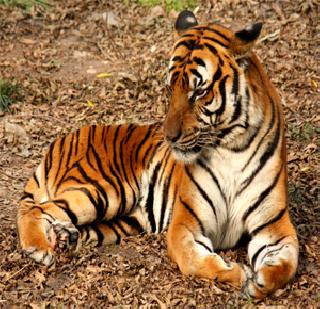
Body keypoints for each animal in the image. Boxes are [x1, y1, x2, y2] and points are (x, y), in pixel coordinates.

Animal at [16, 10, 298, 298]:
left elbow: (288, 264)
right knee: (36, 209)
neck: (231, 147)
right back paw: (38, 248)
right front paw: (239, 274)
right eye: (170, 88)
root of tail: (60, 141)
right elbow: (195, 261)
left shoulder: (274, 225)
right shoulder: (185, 223)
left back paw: (64, 238)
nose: (169, 137)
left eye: (199, 92)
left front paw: (259, 282)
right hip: (104, 190)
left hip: (125, 219)